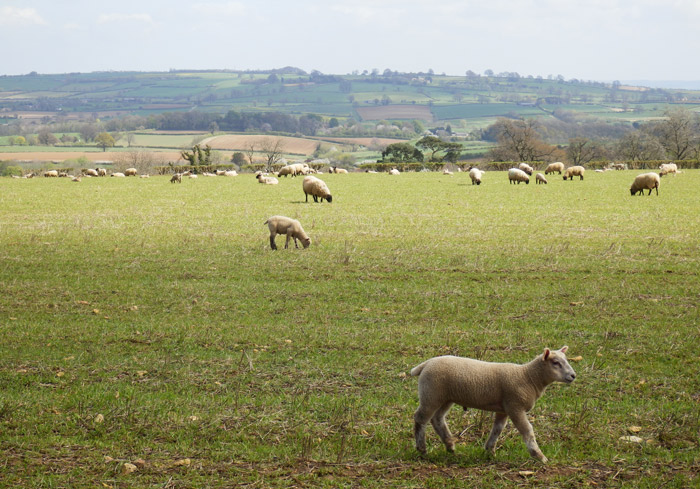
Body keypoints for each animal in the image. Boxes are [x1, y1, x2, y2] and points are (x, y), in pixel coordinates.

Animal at [410, 344, 576, 462]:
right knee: (420, 418)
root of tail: (426, 364)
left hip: (445, 398)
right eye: (555, 363)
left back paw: (450, 445)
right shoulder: (515, 406)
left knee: (437, 419)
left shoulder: (504, 409)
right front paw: (539, 456)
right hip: (431, 394)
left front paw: (490, 450)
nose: (573, 376)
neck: (528, 377)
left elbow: (498, 429)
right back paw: (422, 448)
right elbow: (527, 431)